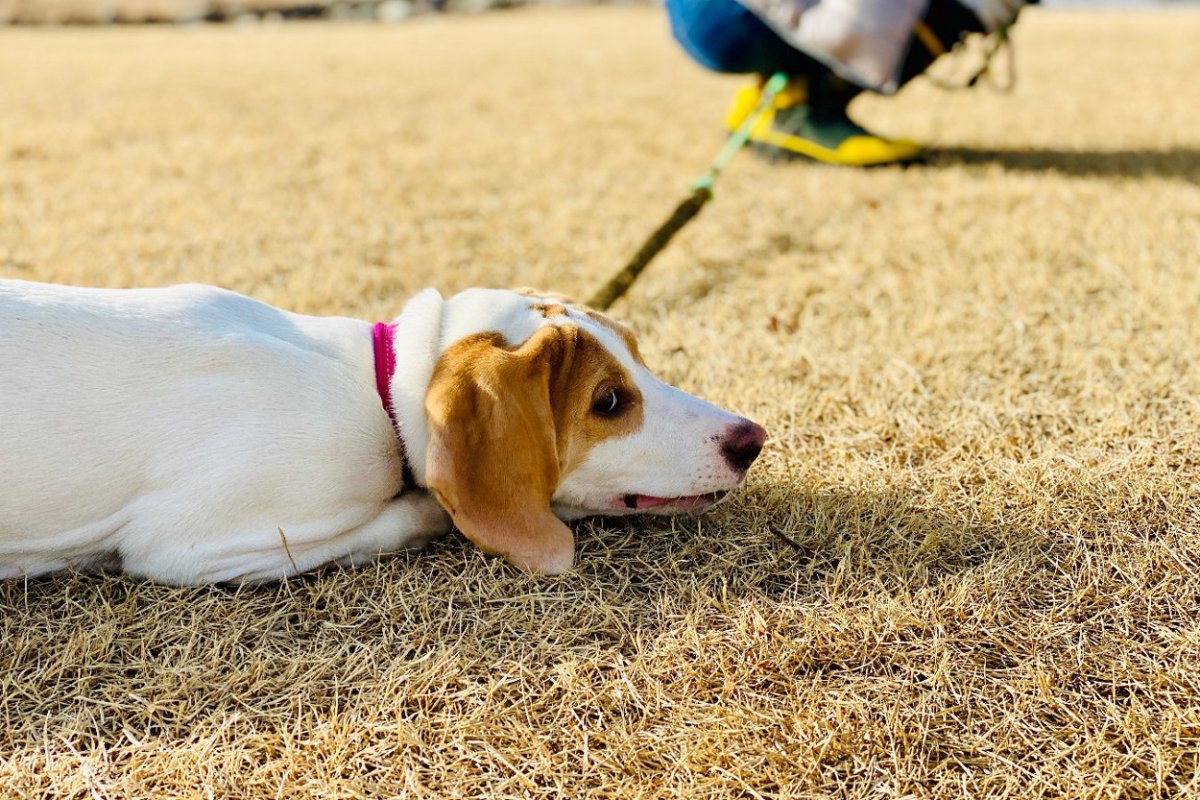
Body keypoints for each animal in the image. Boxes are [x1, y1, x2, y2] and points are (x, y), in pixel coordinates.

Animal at [0, 280, 763, 582]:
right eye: (607, 401)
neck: (378, 391)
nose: (751, 439)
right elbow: (417, 512)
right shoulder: (188, 546)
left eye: (641, 354)